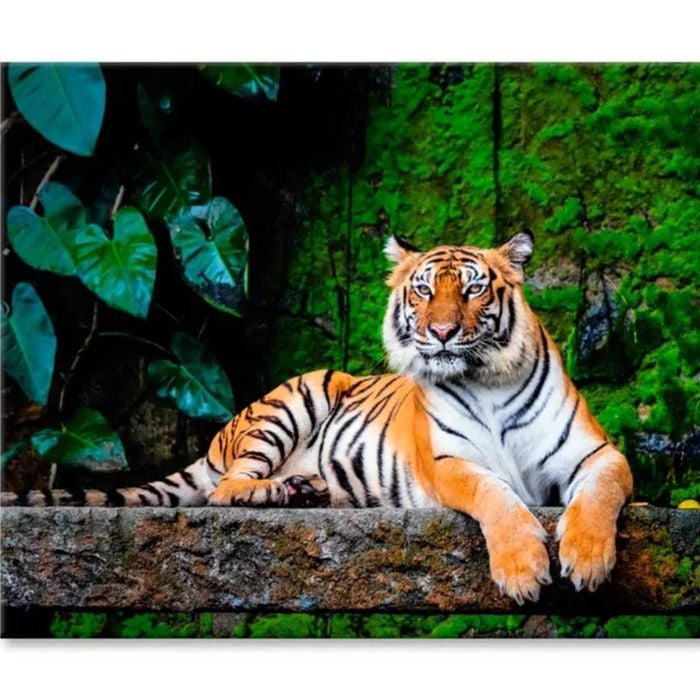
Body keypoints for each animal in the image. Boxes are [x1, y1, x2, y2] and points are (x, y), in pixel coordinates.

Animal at [3, 230, 633, 605]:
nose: (442, 332)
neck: (485, 379)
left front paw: (587, 560)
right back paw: (277, 492)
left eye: (476, 289)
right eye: (423, 290)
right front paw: (524, 570)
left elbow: (599, 495)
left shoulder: (598, 454)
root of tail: (217, 438)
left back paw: (309, 489)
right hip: (296, 398)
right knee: (226, 489)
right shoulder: (450, 462)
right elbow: (496, 497)